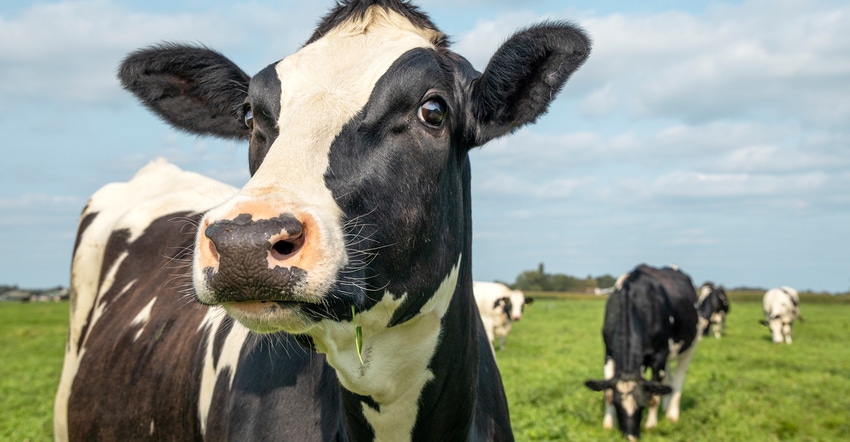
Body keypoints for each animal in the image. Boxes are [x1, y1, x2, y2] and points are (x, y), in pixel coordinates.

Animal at [584, 264, 696, 440]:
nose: (631, 437)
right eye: (617, 403)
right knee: (667, 380)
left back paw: (672, 415)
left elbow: (654, 396)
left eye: (642, 403)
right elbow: (607, 392)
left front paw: (651, 425)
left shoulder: (659, 356)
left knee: (678, 380)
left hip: (689, 347)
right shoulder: (609, 353)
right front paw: (608, 425)